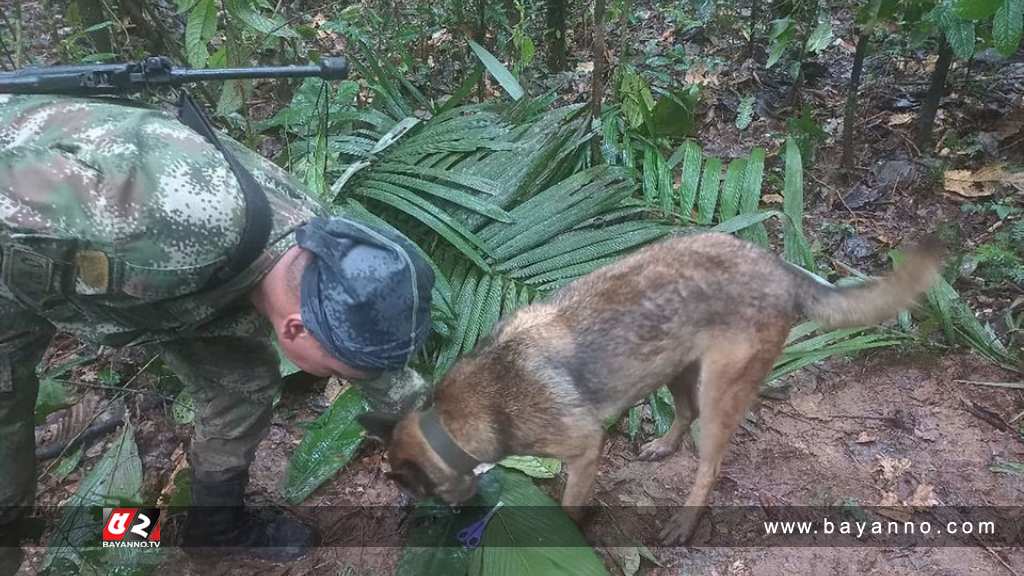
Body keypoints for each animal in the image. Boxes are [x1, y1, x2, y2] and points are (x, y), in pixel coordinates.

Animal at [362, 229, 942, 541]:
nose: (409, 518)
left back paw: (685, 522)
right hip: (677, 369)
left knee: (709, 465)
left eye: (417, 492)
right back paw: (663, 446)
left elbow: (569, 504)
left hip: (719, 391)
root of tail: (780, 267)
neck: (454, 421)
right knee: (683, 414)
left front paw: (572, 529)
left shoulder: (584, 448)